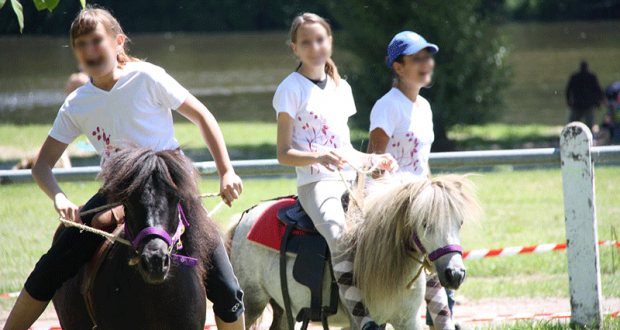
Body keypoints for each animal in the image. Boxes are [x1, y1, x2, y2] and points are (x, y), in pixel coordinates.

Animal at [228, 174, 480, 328]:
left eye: (460, 223)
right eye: (425, 222)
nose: (455, 274)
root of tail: (244, 217)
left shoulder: (406, 321)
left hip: (280, 309)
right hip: (251, 303)